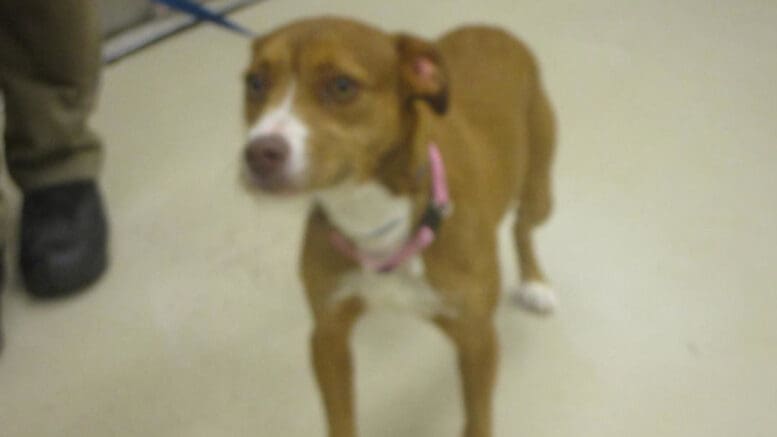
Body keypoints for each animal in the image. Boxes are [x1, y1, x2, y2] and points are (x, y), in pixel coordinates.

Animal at [239, 16, 556, 436]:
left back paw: (534, 282)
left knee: (522, 227)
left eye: (342, 85)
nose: (258, 153)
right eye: (255, 82)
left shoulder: (477, 338)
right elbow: (340, 419)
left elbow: (477, 418)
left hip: (540, 191)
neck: (372, 215)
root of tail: (491, 27)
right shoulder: (327, 334)